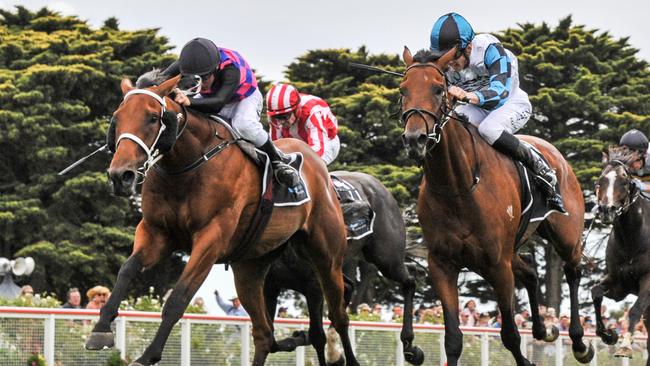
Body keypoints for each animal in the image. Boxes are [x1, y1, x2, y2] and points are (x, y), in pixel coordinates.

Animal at [82, 75, 360, 366]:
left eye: (152, 118)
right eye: (117, 119)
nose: (120, 176)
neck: (186, 165)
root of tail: (318, 167)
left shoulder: (211, 237)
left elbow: (179, 297)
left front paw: (148, 355)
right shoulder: (156, 231)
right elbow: (127, 270)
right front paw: (100, 330)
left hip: (326, 257)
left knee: (339, 317)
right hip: (251, 266)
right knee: (264, 334)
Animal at [262, 172, 420, 366]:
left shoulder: (314, 285)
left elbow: (317, 336)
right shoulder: (270, 286)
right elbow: (270, 341)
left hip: (386, 259)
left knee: (409, 281)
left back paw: (410, 346)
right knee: (351, 288)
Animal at [398, 47, 588, 364]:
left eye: (438, 89)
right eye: (403, 89)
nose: (415, 139)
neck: (458, 186)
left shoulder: (498, 265)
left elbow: (510, 334)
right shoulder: (442, 264)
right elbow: (453, 340)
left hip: (566, 235)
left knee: (573, 271)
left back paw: (580, 342)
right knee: (532, 272)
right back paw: (543, 329)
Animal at [588, 148, 644, 360]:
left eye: (624, 182)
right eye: (600, 181)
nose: (606, 210)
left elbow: (635, 310)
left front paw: (625, 345)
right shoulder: (619, 284)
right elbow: (595, 292)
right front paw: (607, 334)